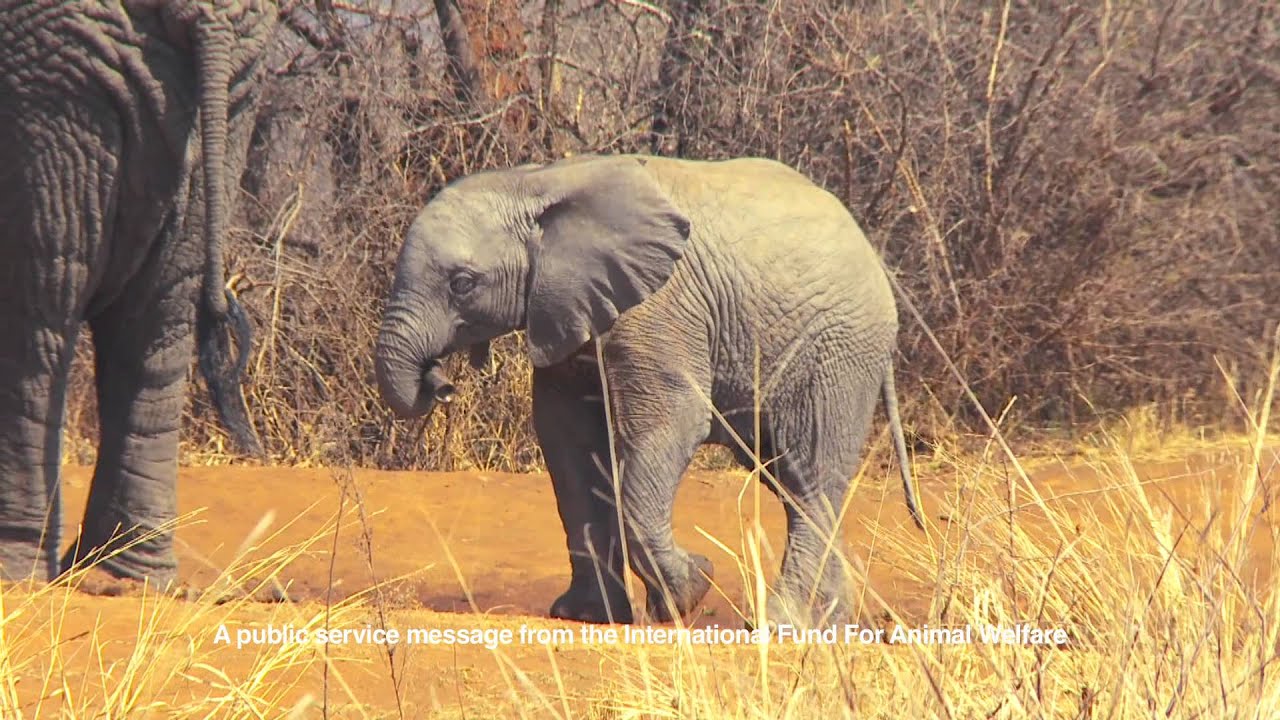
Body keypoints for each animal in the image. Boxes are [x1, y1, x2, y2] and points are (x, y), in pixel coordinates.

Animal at [0, 1, 275, 584]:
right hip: (232, 89)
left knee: (39, 308)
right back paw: (123, 574)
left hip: (51, 89)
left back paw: (27, 570)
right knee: (160, 318)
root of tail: (205, 15)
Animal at [375, 154, 923, 627]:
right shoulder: (565, 308)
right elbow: (569, 441)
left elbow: (671, 424)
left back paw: (781, 624)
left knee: (810, 473)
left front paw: (690, 592)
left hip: (837, 351)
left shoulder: (659, 308)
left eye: (462, 284)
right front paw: (586, 615)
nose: (441, 383)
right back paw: (831, 623)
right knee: (787, 477)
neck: (538, 182)